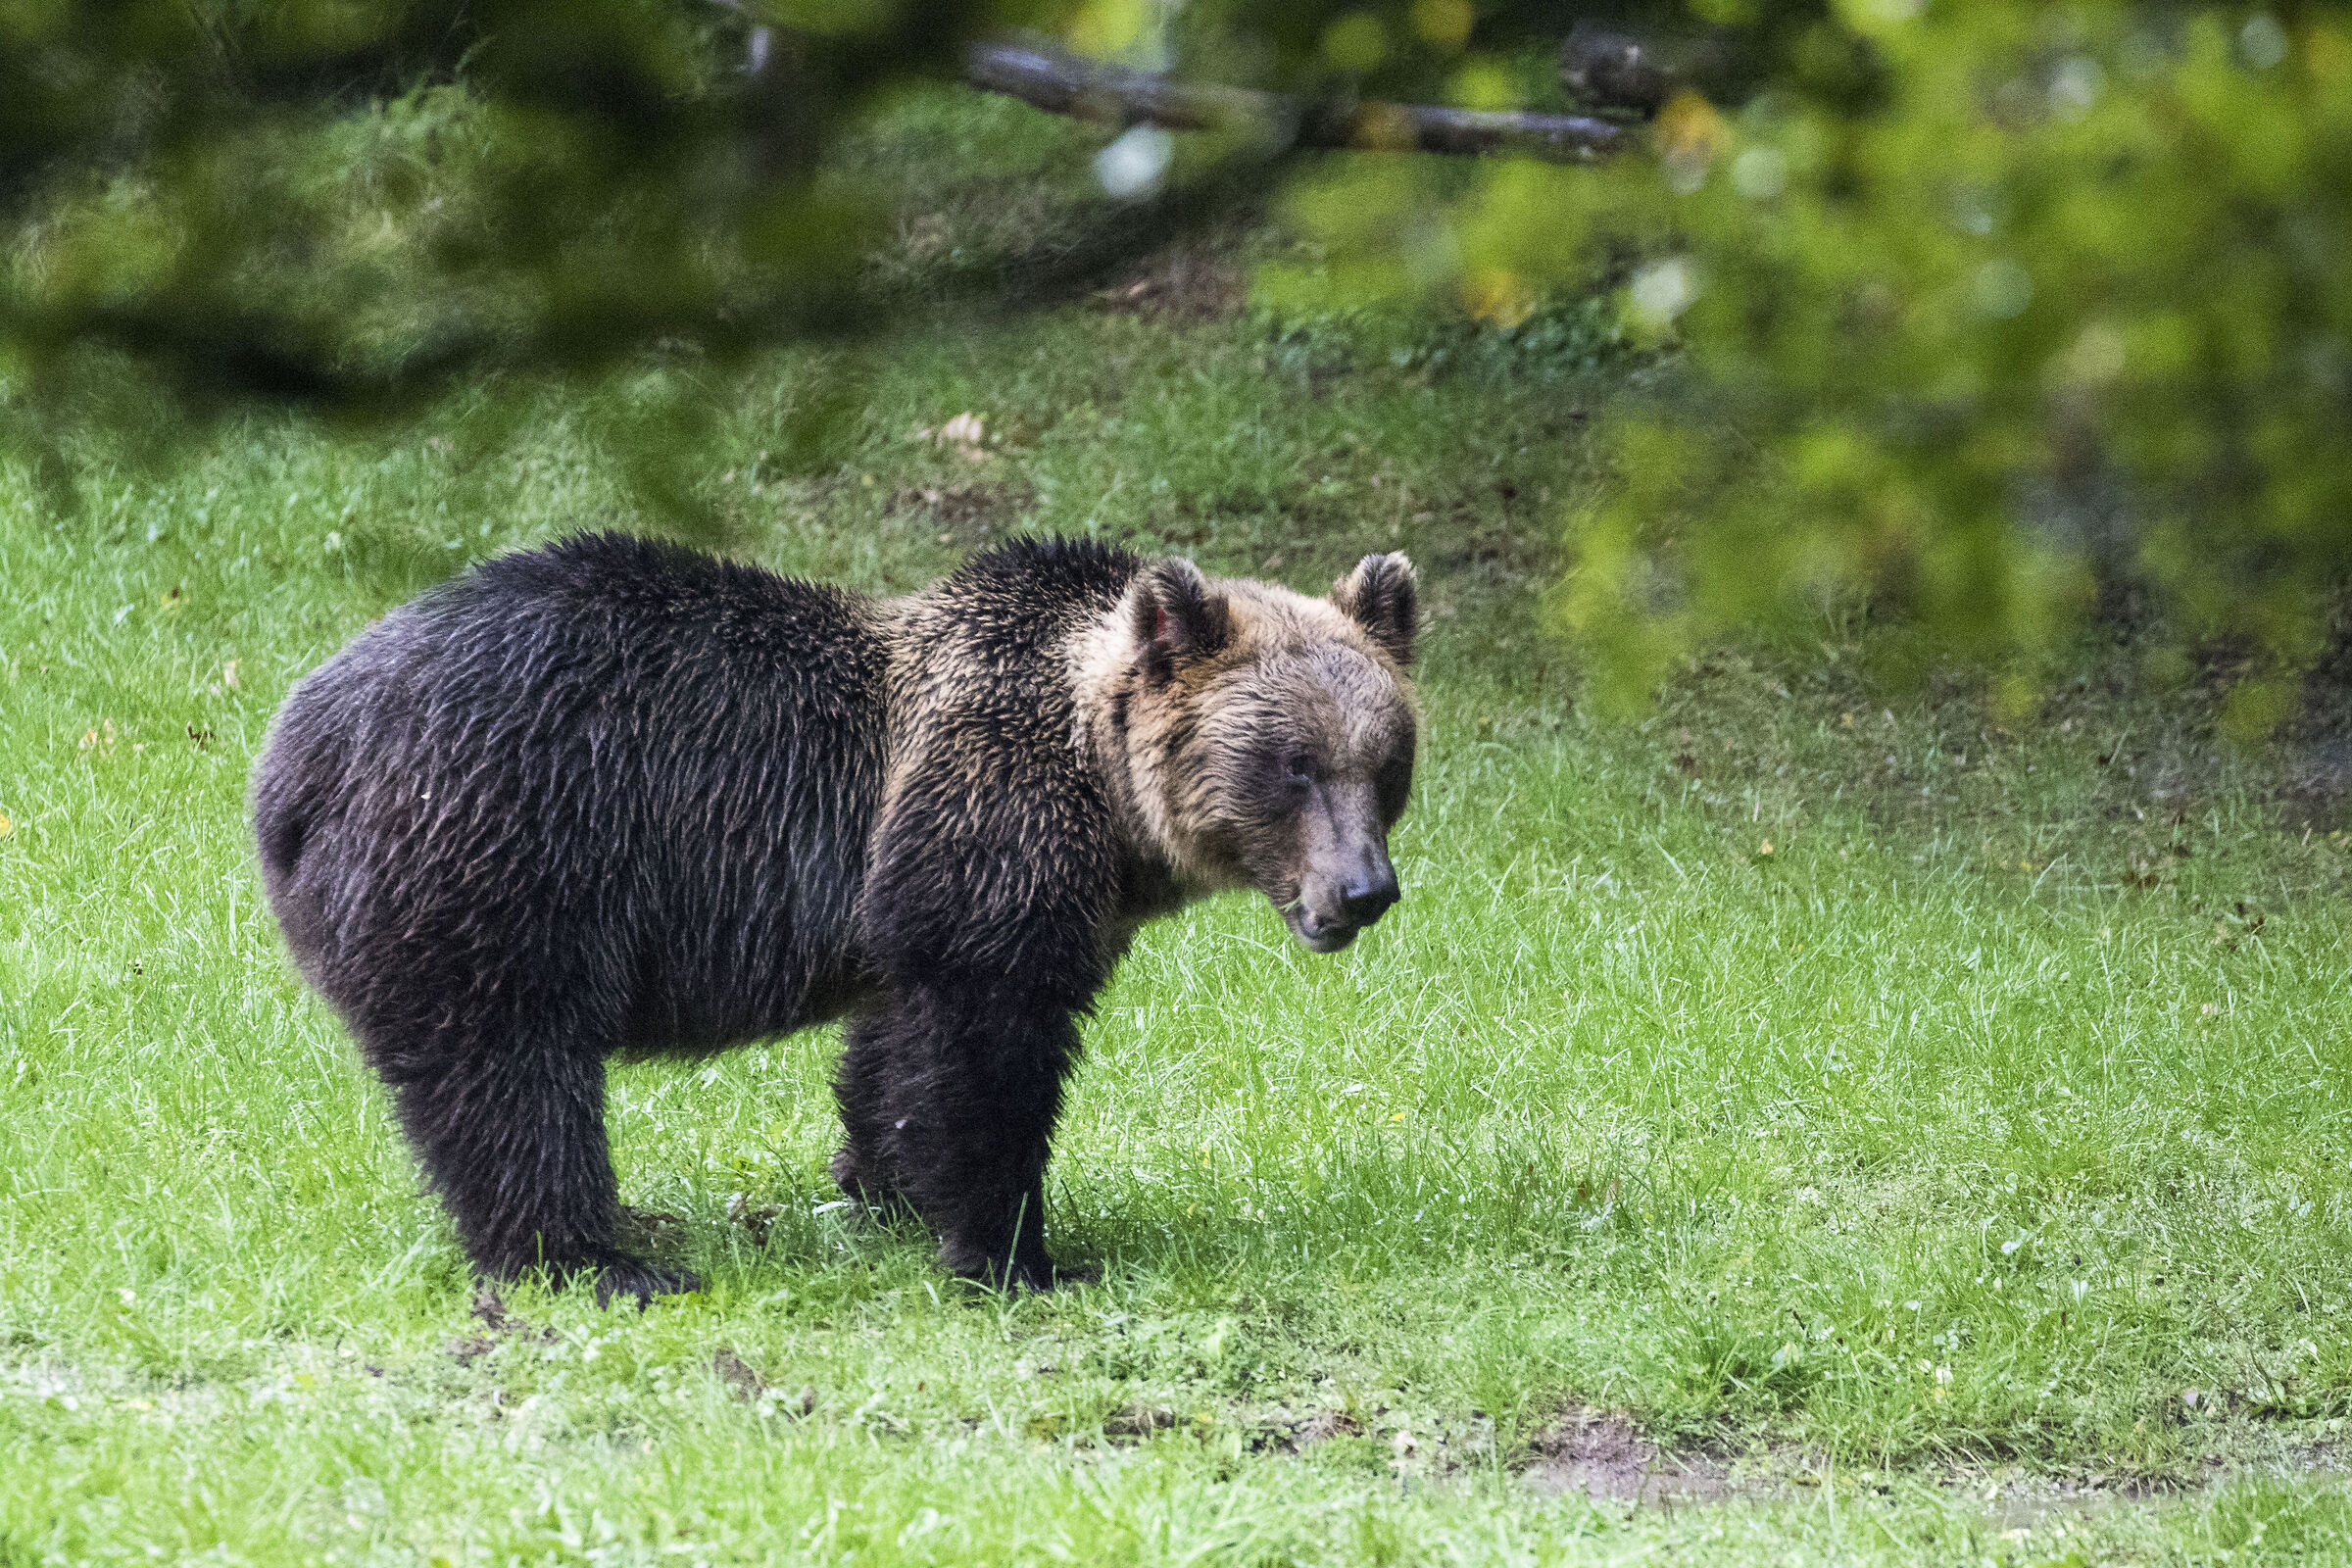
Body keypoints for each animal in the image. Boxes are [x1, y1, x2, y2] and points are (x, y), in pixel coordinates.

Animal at [252, 531, 1418, 1303]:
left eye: (1386, 760)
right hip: (498, 849)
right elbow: (989, 1055)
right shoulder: (988, 829)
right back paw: (597, 1257)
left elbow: (899, 1045)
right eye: (1293, 764)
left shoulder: (916, 892)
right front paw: (1020, 1254)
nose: (1364, 891)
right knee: (510, 1072)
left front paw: (885, 1186)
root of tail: (291, 761)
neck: (1104, 794)